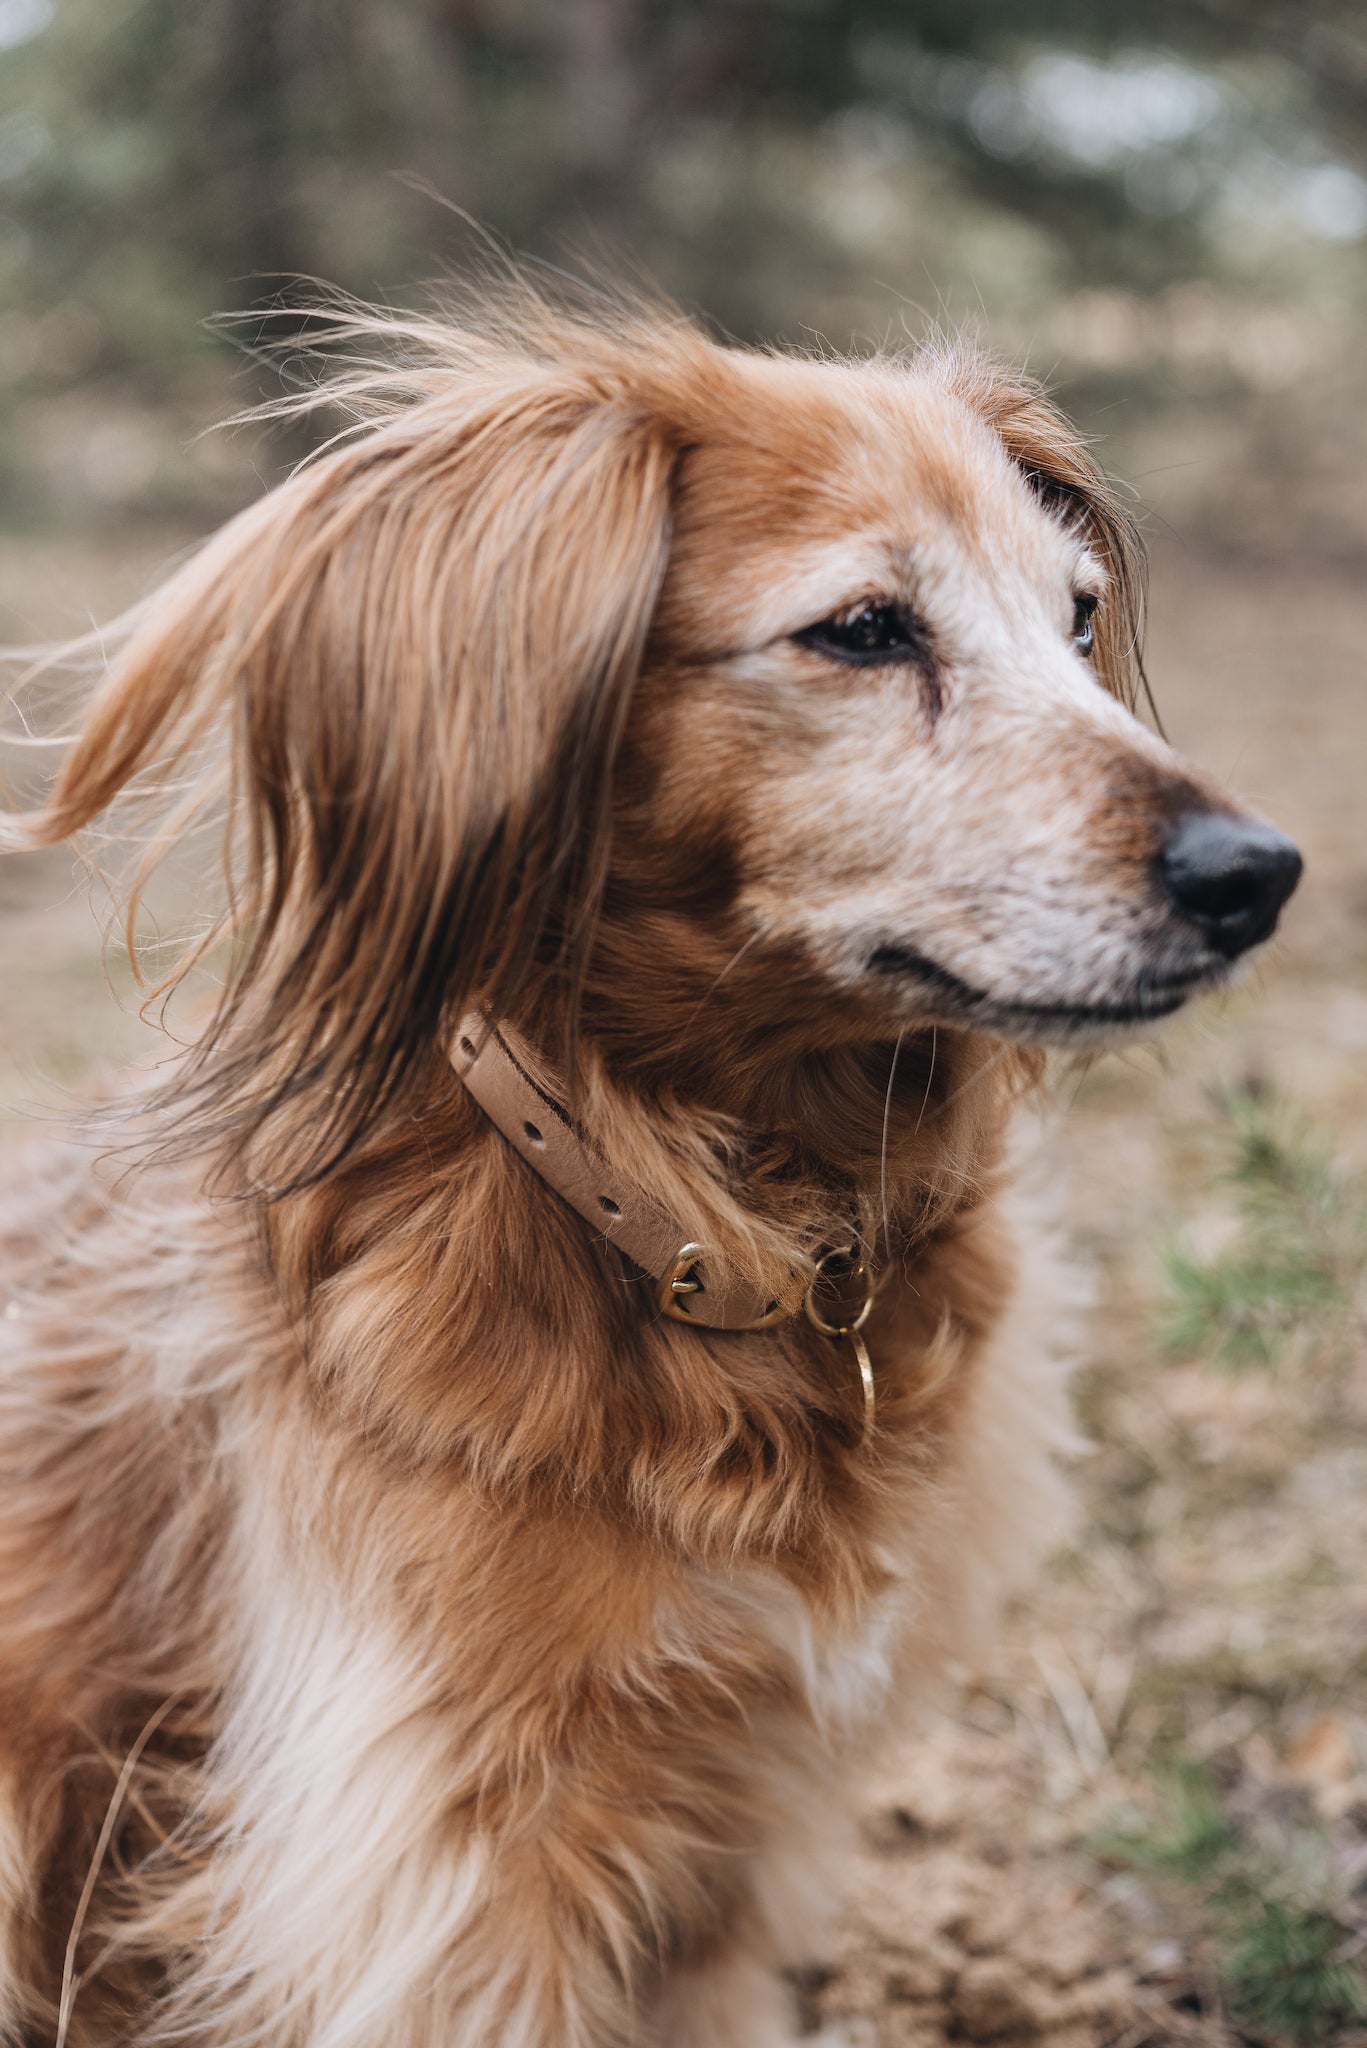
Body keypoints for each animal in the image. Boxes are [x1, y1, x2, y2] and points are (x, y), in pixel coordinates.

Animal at [0, 292, 1303, 2048]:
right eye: (864, 630)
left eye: (1077, 618)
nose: (1258, 876)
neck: (680, 1223)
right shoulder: (451, 1863)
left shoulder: (727, 1851)